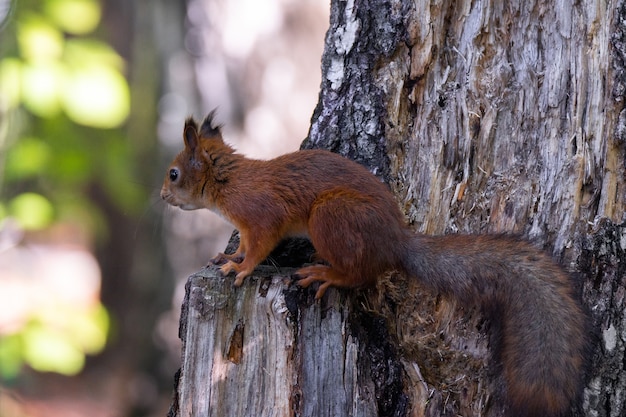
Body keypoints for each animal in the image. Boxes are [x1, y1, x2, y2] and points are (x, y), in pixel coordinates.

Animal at [160, 111, 584, 416]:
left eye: (174, 173)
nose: (162, 196)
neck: (228, 181)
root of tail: (395, 241)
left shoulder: (261, 215)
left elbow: (259, 246)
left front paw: (242, 268)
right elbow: (244, 246)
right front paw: (228, 257)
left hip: (331, 217)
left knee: (359, 274)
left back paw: (326, 273)